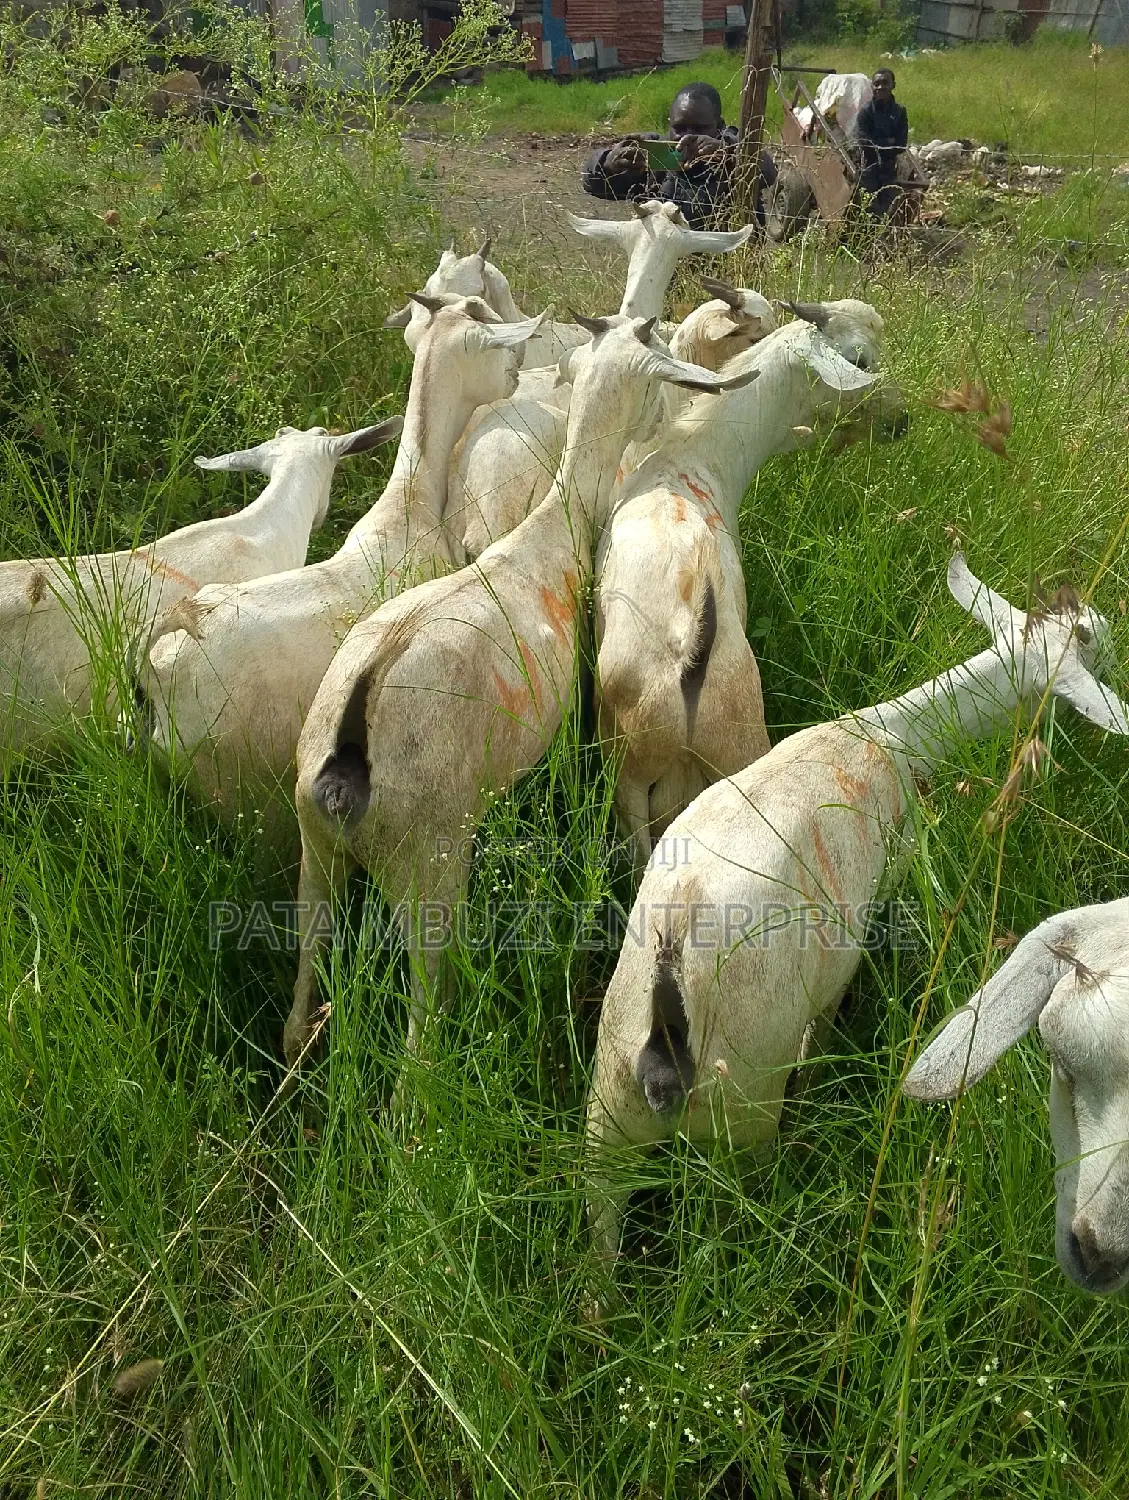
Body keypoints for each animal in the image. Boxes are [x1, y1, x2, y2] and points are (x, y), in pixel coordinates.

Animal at [284, 315, 758, 1069]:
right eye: (658, 373)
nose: (661, 423)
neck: (544, 535)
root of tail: (345, 760)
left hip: (313, 845)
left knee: (301, 986)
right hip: (429, 863)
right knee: (419, 1032)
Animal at [595, 299, 906, 863]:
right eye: (861, 361)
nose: (901, 420)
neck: (695, 458)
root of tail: (689, 652)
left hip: (630, 777)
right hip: (719, 754)